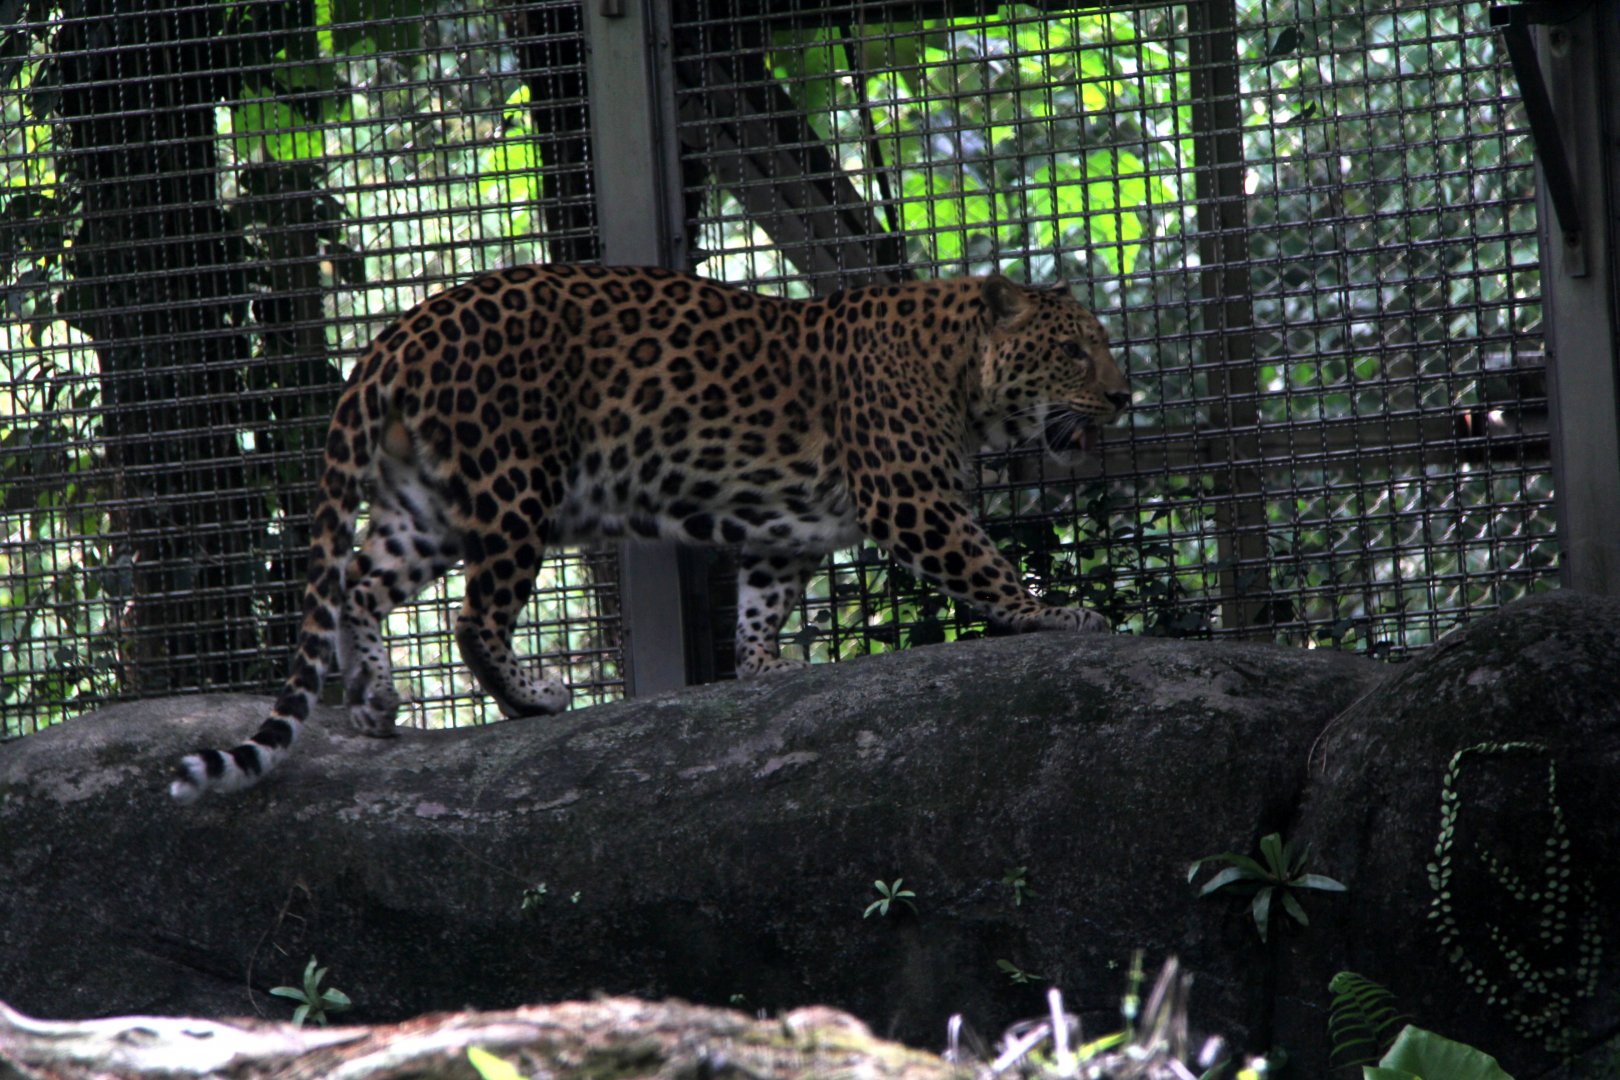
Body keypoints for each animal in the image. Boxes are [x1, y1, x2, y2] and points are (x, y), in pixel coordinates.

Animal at [170, 264, 1130, 802]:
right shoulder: (913, 498)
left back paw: (374, 702)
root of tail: (395, 333)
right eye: (1074, 351)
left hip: (425, 509)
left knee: (362, 586)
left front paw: (763, 670)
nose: (1124, 397)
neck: (962, 375)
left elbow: (760, 602)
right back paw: (532, 698)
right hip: (515, 485)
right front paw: (1059, 615)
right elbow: (985, 564)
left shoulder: (786, 535)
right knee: (475, 617)